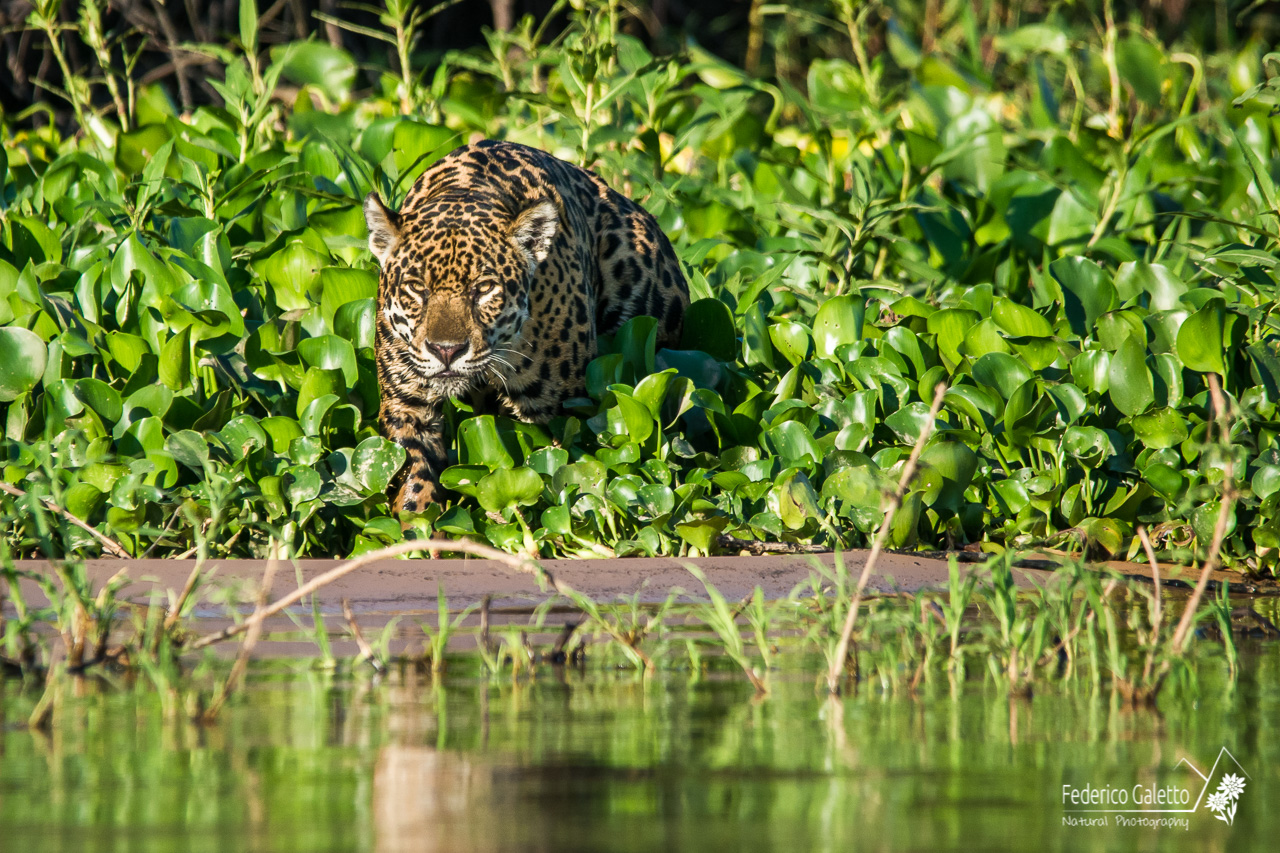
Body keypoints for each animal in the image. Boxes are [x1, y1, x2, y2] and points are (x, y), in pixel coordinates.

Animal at [363, 140, 690, 513]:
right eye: (416, 288)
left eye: (484, 288)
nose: (446, 351)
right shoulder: (407, 405)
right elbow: (413, 472)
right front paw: (416, 520)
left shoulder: (555, 414)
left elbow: (549, 473)